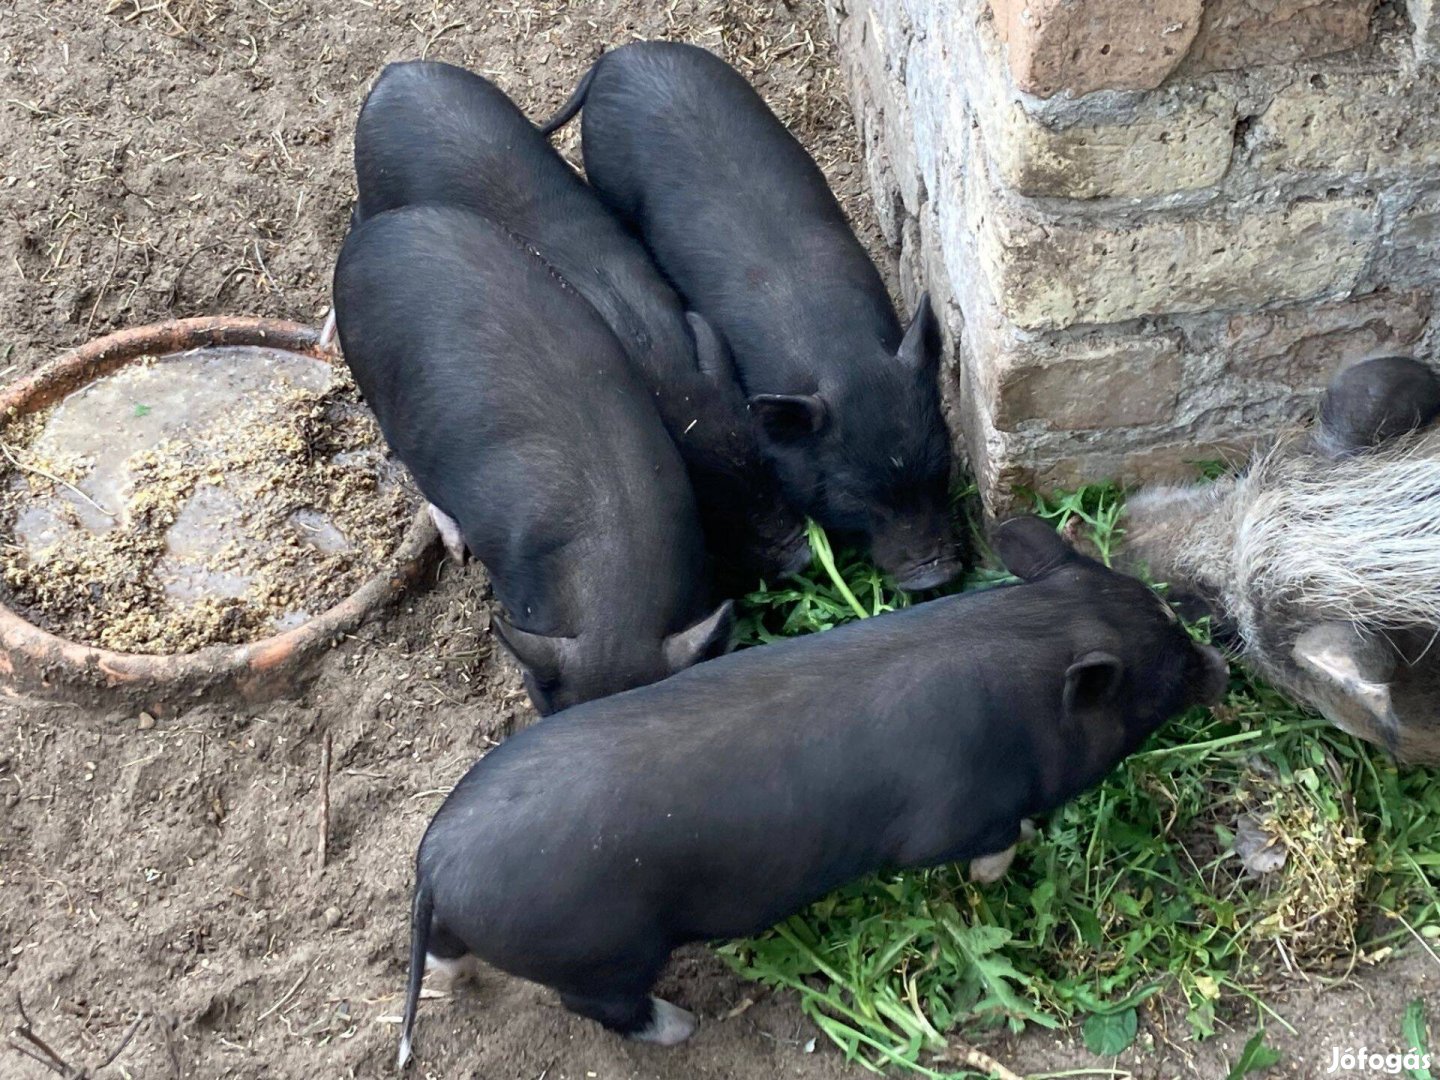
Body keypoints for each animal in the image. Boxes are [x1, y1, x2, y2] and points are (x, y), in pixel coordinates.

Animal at [394, 521, 1226, 1071]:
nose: (1221, 664)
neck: (1032, 654)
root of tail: (434, 865)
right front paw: (1005, 865)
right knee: (598, 1006)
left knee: (446, 955)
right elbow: (994, 840)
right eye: (1167, 671)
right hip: (601, 952)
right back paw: (682, 1026)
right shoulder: (944, 822)